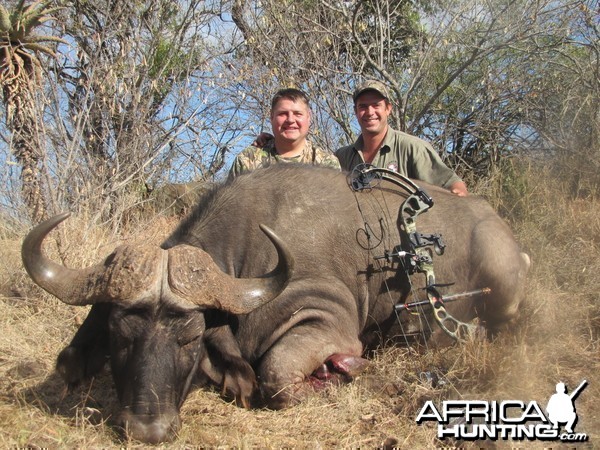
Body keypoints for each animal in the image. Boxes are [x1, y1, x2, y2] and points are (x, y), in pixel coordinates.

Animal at [22, 163, 528, 442]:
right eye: (118, 336)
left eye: (190, 339)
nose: (149, 429)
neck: (251, 255)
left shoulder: (326, 322)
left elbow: (278, 376)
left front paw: (344, 372)